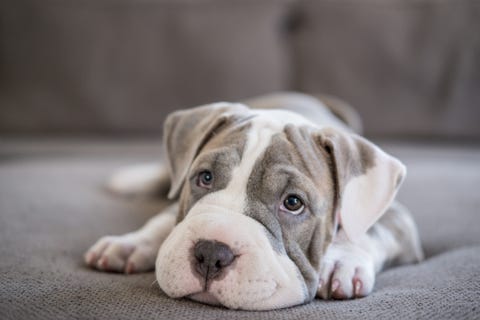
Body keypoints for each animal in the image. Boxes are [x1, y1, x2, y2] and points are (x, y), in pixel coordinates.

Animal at [84, 92, 422, 310]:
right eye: (205, 178)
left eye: (293, 203)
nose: (211, 253)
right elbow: (166, 219)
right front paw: (131, 244)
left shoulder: (398, 219)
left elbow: (369, 232)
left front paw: (342, 262)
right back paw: (132, 180)